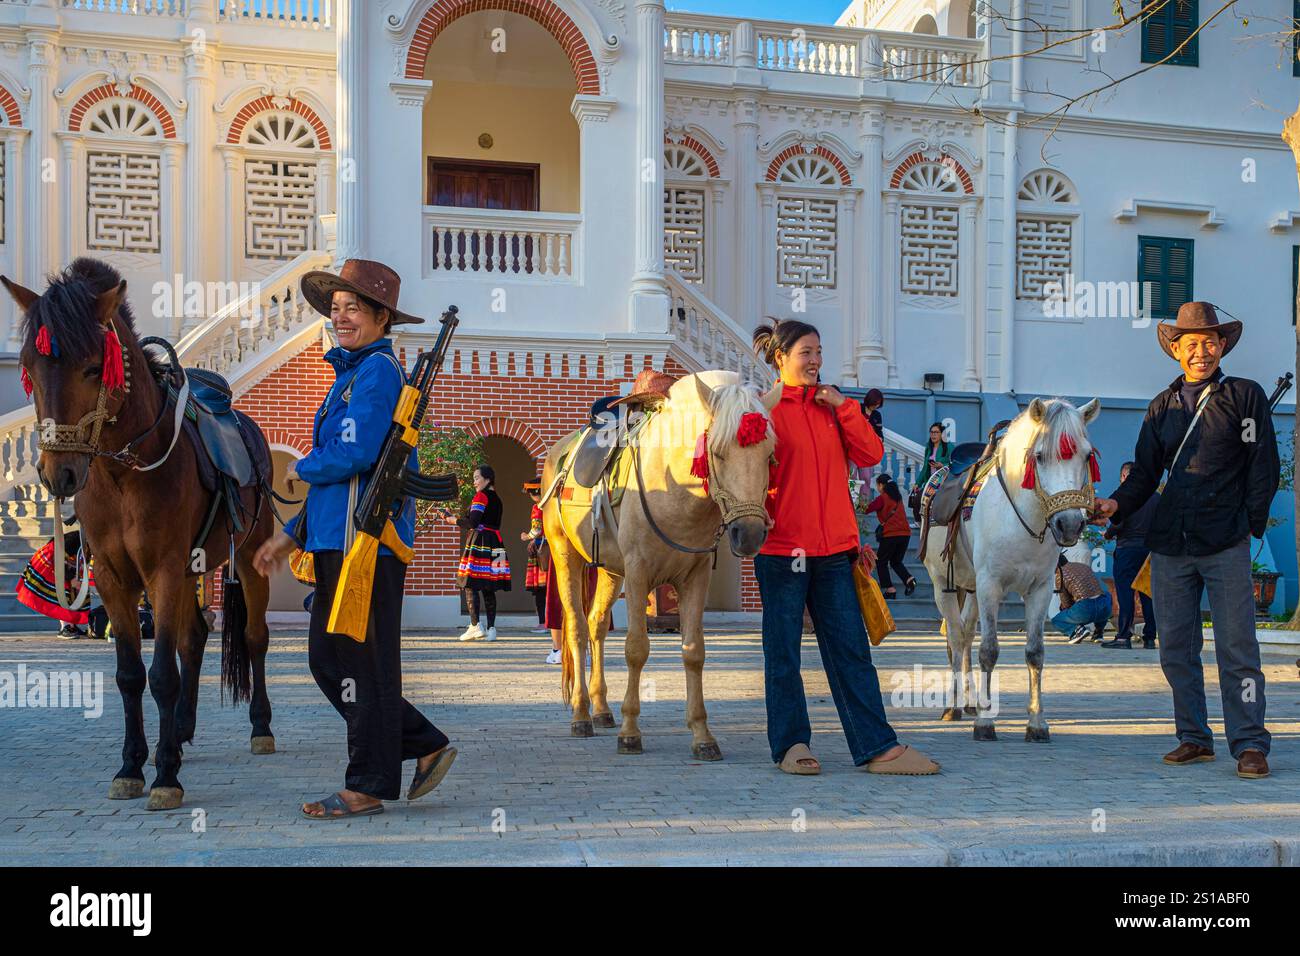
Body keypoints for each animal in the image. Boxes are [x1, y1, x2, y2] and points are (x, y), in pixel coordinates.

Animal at [3, 257, 278, 811]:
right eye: (28, 366)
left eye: (93, 367)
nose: (59, 474)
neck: (121, 472)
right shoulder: (113, 577)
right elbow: (131, 675)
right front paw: (133, 765)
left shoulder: (164, 571)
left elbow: (162, 675)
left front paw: (166, 775)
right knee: (195, 639)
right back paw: (183, 732)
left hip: (247, 557)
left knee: (254, 638)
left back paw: (259, 727)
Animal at [543, 369, 774, 759]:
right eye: (718, 452)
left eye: (770, 456)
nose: (750, 533)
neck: (672, 483)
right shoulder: (638, 572)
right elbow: (636, 649)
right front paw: (630, 732)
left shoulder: (695, 577)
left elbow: (694, 652)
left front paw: (702, 734)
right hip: (566, 555)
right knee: (576, 628)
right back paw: (582, 715)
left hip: (610, 570)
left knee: (597, 625)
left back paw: (601, 709)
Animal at [920, 400, 1102, 743]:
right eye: (1040, 456)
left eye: (1086, 456)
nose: (1070, 524)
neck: (1023, 518)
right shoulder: (990, 584)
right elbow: (989, 650)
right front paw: (985, 724)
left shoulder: (1040, 589)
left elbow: (1035, 653)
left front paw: (1037, 724)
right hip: (943, 584)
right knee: (956, 636)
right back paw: (954, 705)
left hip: (971, 588)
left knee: (965, 634)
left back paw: (971, 702)